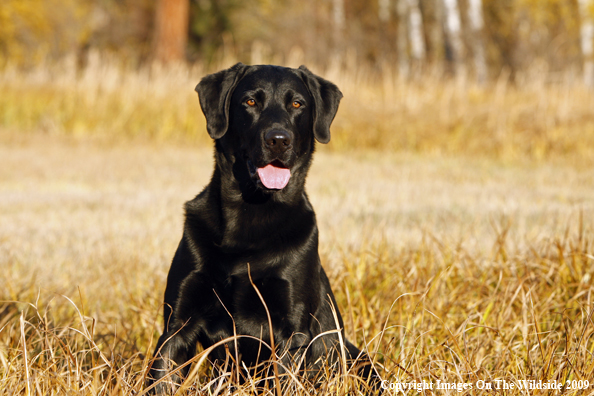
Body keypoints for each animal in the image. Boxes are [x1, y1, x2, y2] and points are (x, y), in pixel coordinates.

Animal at [148, 63, 380, 392]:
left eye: (297, 104)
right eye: (250, 101)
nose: (278, 140)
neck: (250, 216)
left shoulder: (289, 332)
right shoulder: (177, 325)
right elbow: (161, 378)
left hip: (357, 359)